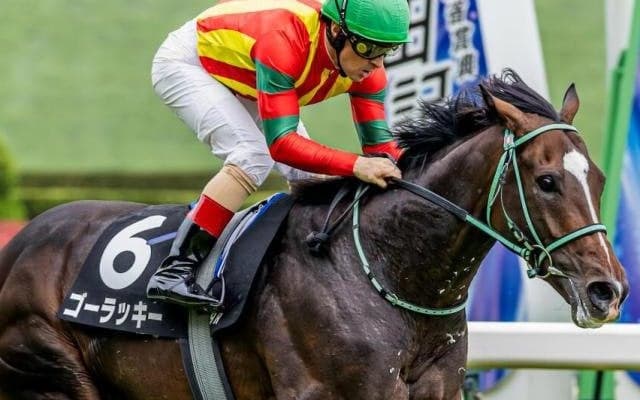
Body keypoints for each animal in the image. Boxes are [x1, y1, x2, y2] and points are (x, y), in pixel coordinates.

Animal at [0, 70, 628, 400]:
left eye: (598, 178)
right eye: (547, 181)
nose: (609, 290)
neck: (386, 269)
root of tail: (21, 243)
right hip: (52, 371)